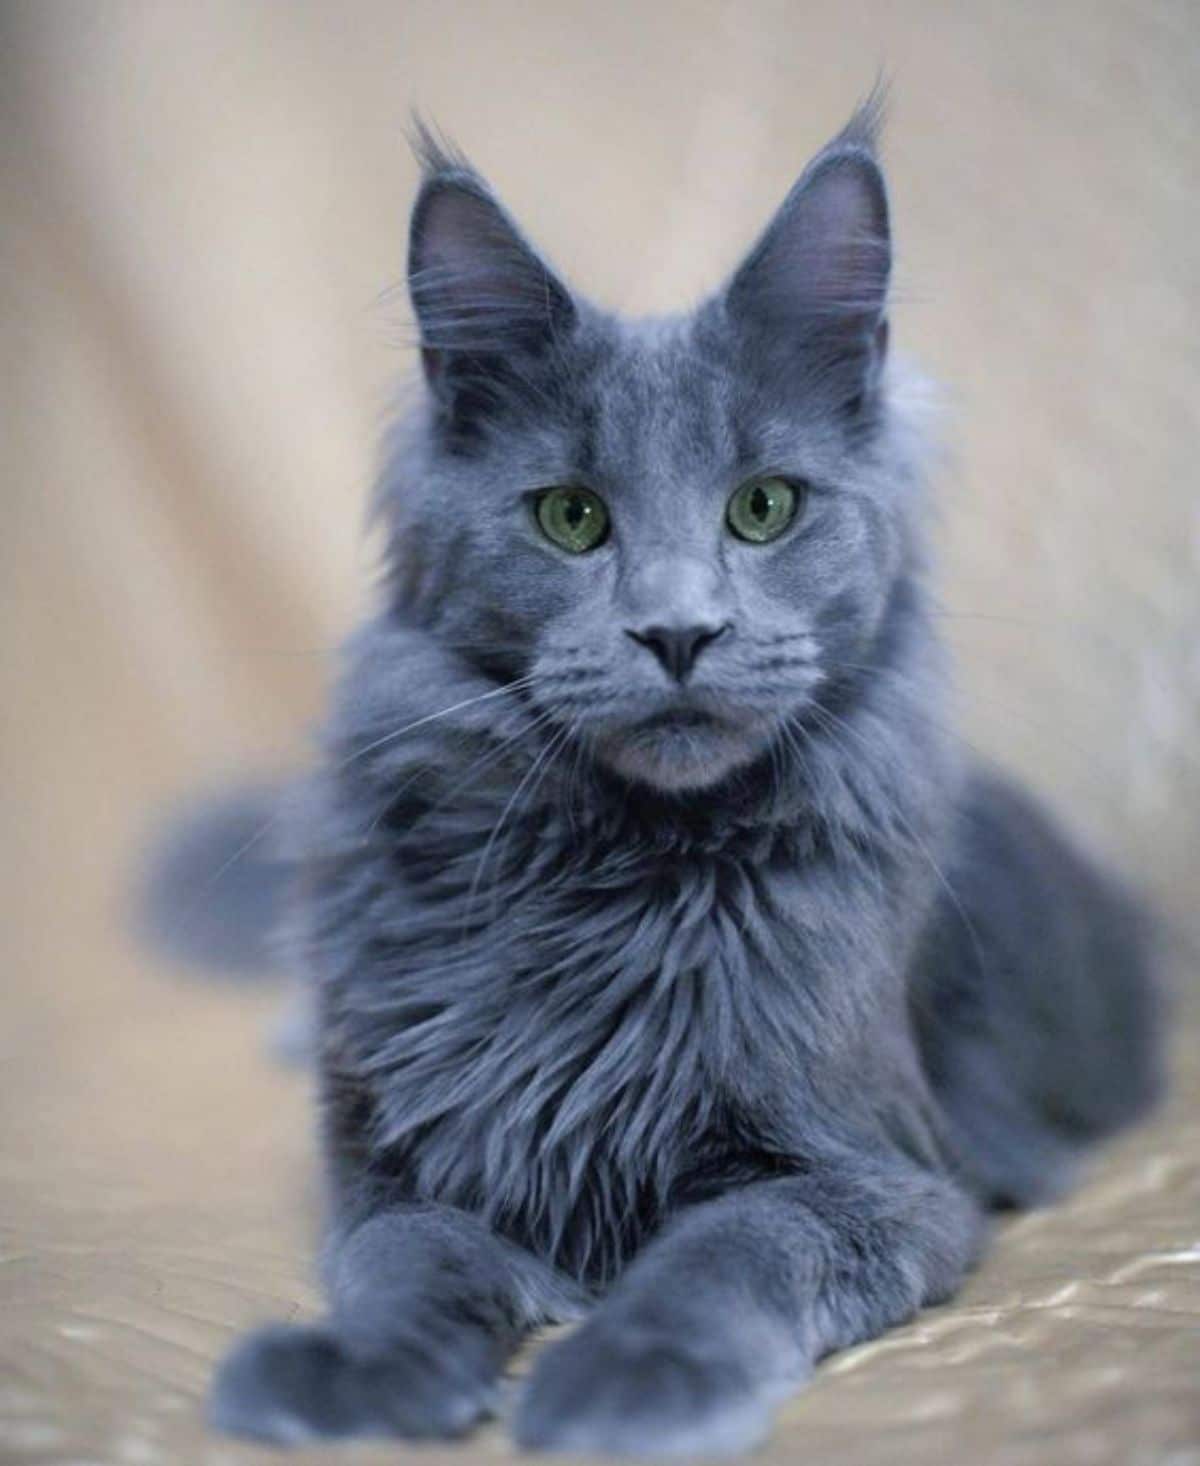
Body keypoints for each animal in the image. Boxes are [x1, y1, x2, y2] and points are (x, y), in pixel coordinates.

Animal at [180, 100, 1166, 1454]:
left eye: (764, 507)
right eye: (571, 519)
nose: (680, 631)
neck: (612, 874)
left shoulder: (879, 1174)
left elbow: (727, 1249)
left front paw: (627, 1370)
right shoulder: (407, 1161)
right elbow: (407, 1262)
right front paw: (357, 1369)